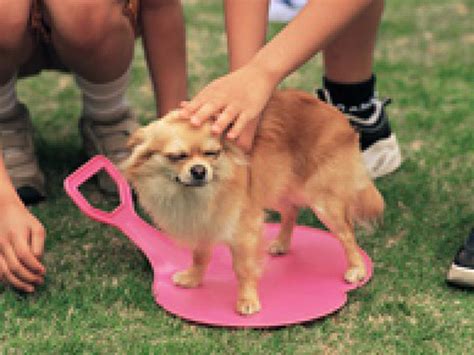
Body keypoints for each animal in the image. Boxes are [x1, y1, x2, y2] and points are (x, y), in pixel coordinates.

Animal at [120, 89, 384, 318]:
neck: (195, 195)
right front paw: (193, 278)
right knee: (291, 209)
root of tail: (336, 114)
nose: (199, 170)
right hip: (275, 186)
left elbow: (243, 268)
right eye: (177, 157)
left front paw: (247, 300)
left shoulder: (244, 229)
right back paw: (282, 243)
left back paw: (356, 268)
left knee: (346, 233)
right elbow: (200, 255)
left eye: (212, 154)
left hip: (324, 202)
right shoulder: (206, 224)